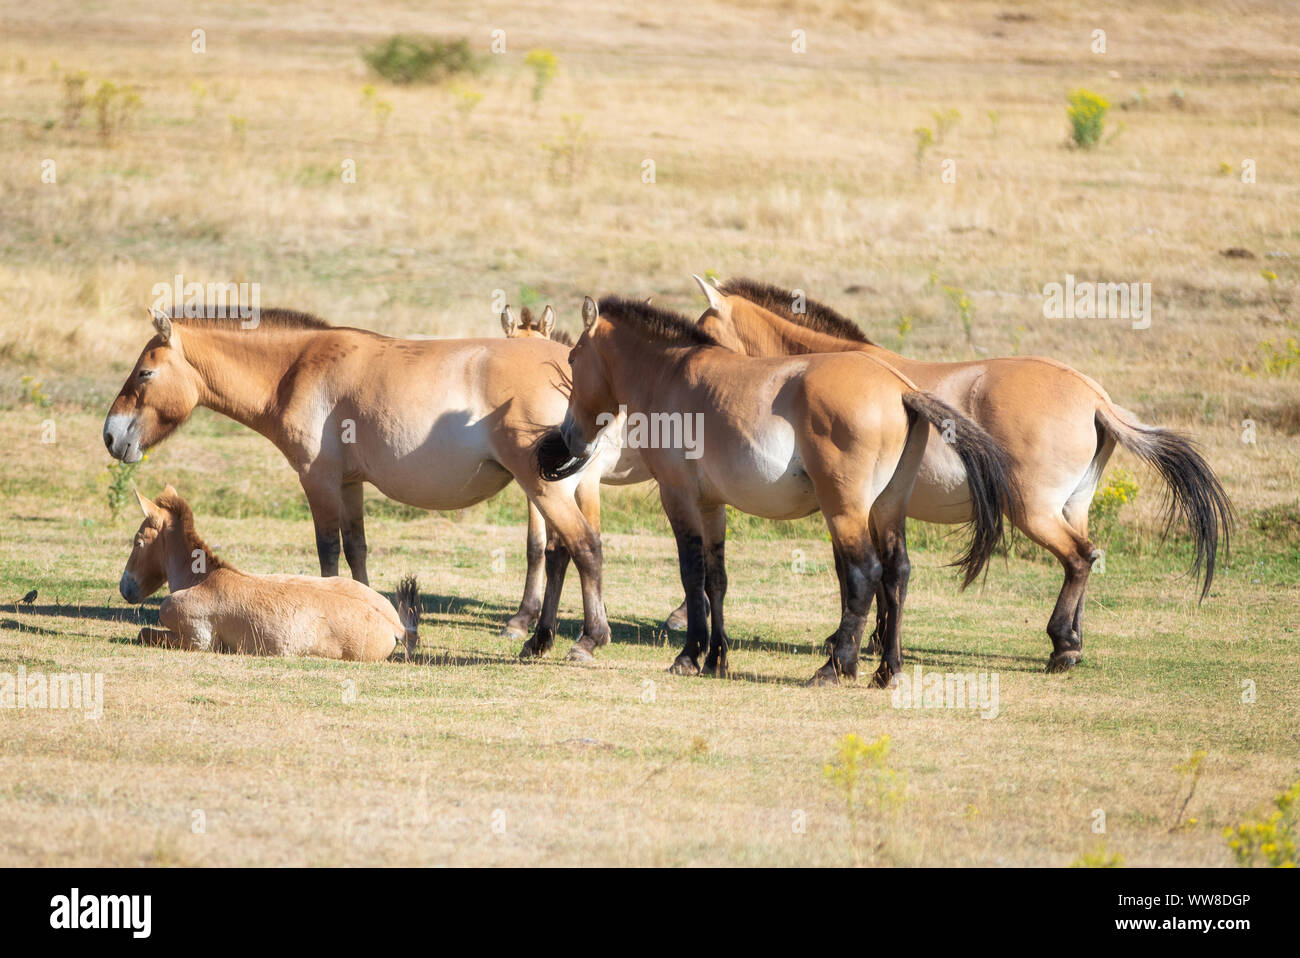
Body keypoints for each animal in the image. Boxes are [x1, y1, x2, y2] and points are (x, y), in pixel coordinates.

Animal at [120, 480, 418, 660]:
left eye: (138, 541)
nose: (125, 588)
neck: (201, 578)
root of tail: (396, 626)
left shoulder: (196, 640)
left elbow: (144, 632)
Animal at [533, 295, 1019, 686]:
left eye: (573, 358)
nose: (568, 436)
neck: (669, 376)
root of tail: (900, 389)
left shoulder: (680, 498)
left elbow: (692, 575)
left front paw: (689, 656)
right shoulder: (712, 506)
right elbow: (716, 580)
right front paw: (717, 659)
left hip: (846, 512)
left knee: (864, 574)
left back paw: (835, 667)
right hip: (886, 509)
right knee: (896, 574)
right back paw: (888, 670)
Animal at [696, 272, 1232, 670]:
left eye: (704, 334)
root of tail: (1094, 397)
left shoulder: (854, 506)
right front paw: (877, 641)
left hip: (1033, 511)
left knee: (1078, 558)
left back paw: (1062, 646)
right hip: (1071, 506)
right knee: (1087, 555)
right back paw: (1075, 641)